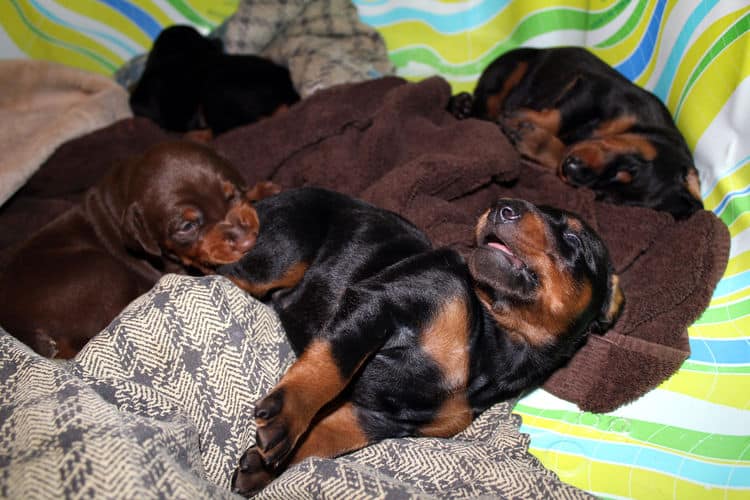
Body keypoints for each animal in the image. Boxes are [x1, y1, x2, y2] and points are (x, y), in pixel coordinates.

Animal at [0, 141, 280, 360]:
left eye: (231, 196)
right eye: (187, 226)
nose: (246, 241)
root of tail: (18, 327)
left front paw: (262, 189)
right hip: (102, 272)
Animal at [217, 188, 624, 496]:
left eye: (573, 239)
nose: (502, 206)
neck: (490, 336)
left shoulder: (378, 420)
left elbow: (323, 436)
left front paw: (264, 468)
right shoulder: (381, 302)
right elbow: (332, 365)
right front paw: (288, 414)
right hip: (277, 256)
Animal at [452, 47, 704, 219]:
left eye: (604, 196)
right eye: (630, 167)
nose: (571, 170)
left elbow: (560, 149)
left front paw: (531, 139)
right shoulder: (594, 90)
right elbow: (558, 117)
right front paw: (518, 117)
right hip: (513, 67)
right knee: (488, 102)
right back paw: (464, 106)